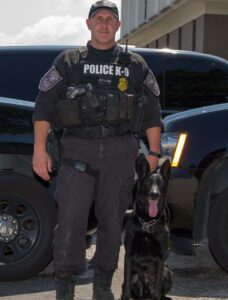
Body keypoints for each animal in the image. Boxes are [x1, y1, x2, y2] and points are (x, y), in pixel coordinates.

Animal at [122, 157, 172, 300]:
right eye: (148, 183)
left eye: (161, 184)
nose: (154, 194)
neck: (147, 224)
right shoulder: (128, 256)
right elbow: (126, 286)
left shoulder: (160, 259)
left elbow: (158, 287)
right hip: (135, 277)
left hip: (168, 272)